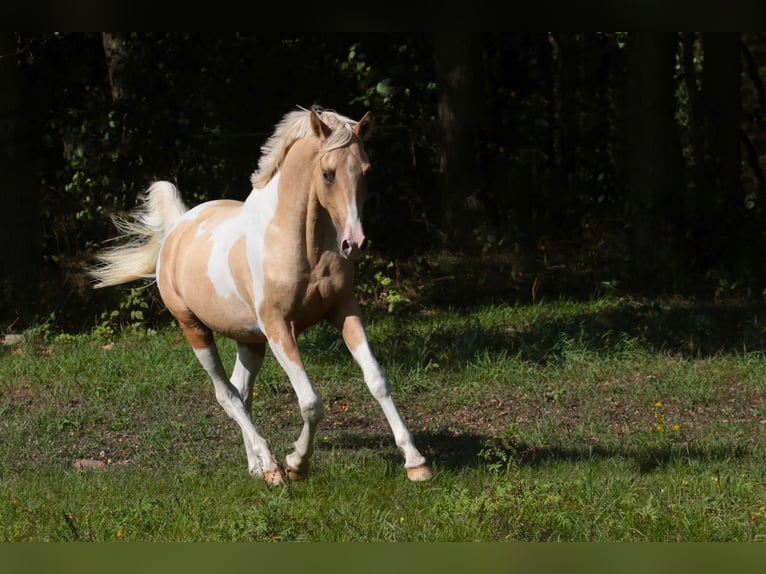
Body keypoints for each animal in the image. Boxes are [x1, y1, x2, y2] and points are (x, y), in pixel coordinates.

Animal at [88, 107, 432, 485]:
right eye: (327, 174)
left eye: (367, 171)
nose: (353, 243)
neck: (301, 244)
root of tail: (179, 227)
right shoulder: (279, 327)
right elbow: (311, 402)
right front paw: (296, 464)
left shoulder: (344, 310)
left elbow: (377, 380)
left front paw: (416, 462)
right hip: (194, 329)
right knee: (226, 394)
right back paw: (271, 467)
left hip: (249, 340)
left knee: (242, 391)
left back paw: (256, 466)